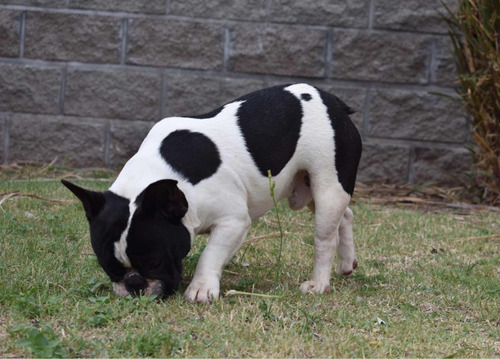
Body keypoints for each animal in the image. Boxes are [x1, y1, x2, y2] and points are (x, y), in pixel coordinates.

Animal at [62, 84, 362, 304]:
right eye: (108, 267)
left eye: (155, 261)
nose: (134, 284)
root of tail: (334, 102)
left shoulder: (233, 221)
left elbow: (210, 254)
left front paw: (201, 288)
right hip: (309, 187)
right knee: (345, 215)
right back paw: (347, 264)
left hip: (328, 185)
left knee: (325, 237)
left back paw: (318, 284)